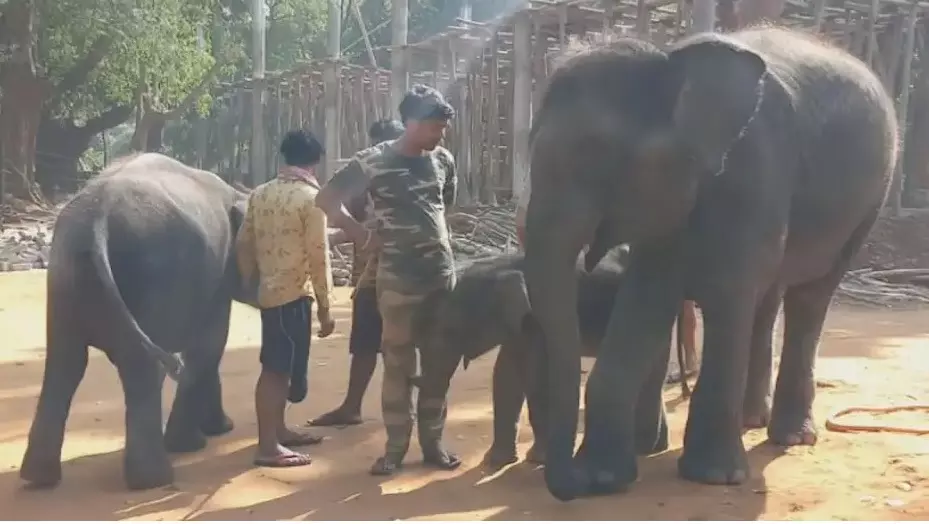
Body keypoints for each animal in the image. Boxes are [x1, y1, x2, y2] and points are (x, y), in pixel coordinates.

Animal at [20, 153, 257, 491]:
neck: (239, 194)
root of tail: (95, 225)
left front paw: (219, 429)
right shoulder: (216, 273)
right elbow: (210, 345)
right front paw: (196, 442)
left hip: (64, 279)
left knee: (65, 362)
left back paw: (38, 478)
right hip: (154, 273)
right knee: (141, 366)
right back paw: (153, 479)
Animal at [524, 27, 897, 501]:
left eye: (596, 154)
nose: (568, 485)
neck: (669, 64)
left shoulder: (754, 172)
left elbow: (725, 290)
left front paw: (713, 477)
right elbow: (648, 297)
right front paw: (605, 478)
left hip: (868, 202)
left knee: (810, 295)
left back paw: (791, 436)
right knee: (768, 297)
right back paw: (752, 420)